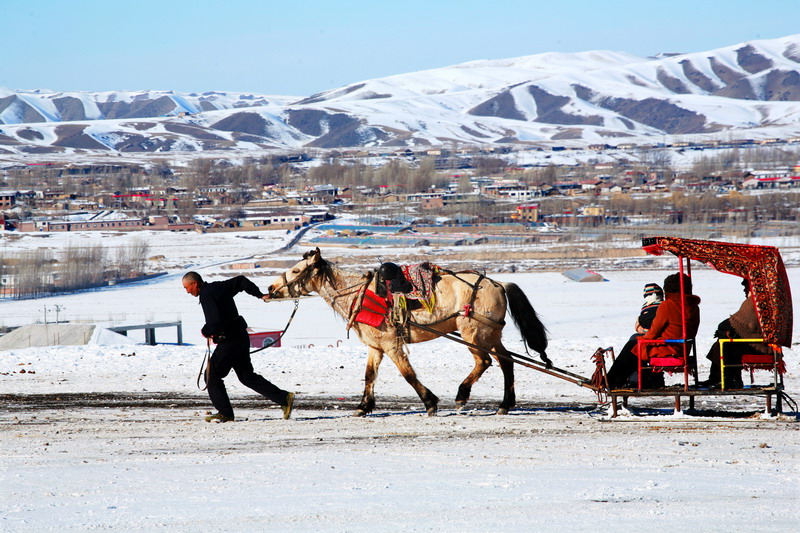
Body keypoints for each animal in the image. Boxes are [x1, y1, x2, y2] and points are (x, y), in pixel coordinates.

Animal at [268, 248, 552, 416]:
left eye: (296, 270)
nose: (270, 289)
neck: (361, 295)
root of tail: (498, 283)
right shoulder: (375, 346)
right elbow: (369, 376)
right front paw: (363, 407)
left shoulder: (391, 344)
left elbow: (407, 375)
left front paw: (430, 402)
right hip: (490, 335)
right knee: (507, 362)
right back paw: (505, 404)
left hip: (474, 334)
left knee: (484, 362)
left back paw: (462, 396)